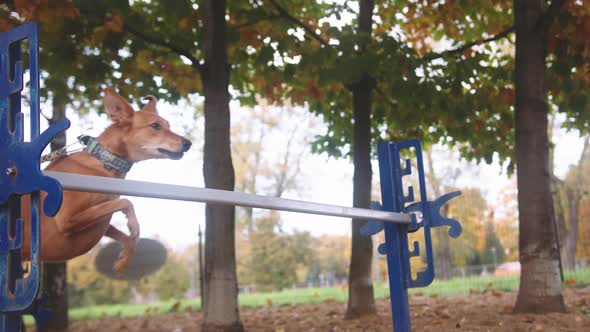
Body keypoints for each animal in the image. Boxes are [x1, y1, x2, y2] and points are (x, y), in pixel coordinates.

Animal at [20, 88, 191, 272]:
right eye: (155, 126)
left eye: (168, 125)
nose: (188, 143)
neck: (104, 161)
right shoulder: (66, 219)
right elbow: (126, 202)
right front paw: (134, 224)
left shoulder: (99, 218)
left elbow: (128, 237)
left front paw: (123, 261)